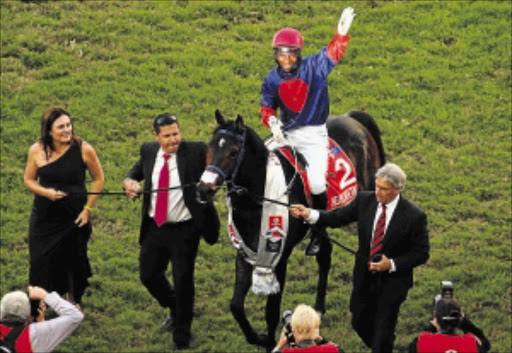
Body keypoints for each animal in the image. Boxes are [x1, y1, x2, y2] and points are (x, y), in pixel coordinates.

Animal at [196, 108, 384, 350]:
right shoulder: (244, 253)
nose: (203, 189)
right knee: (325, 254)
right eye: (210, 147)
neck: (257, 201)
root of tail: (351, 118)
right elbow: (236, 305)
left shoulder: (280, 257)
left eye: (233, 152)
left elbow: (271, 311)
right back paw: (318, 308)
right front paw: (256, 338)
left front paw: (270, 341)